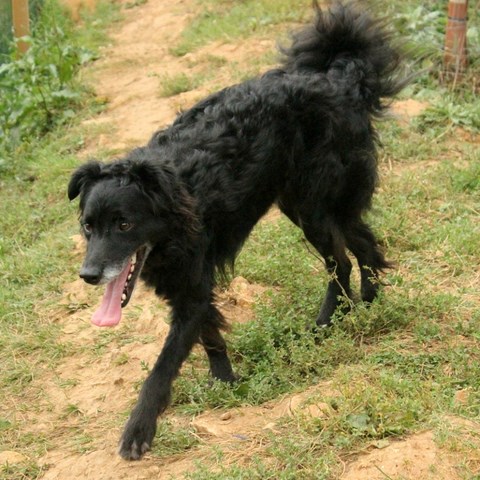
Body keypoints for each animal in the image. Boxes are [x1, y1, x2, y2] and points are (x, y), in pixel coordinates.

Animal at [67, 2, 404, 462]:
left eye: (124, 224)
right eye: (88, 226)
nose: (88, 275)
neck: (176, 201)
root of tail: (338, 77)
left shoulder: (191, 286)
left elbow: (163, 365)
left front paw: (138, 429)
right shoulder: (186, 287)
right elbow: (210, 335)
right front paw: (225, 382)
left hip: (315, 205)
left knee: (342, 259)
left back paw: (325, 323)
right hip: (312, 203)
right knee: (365, 245)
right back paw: (368, 304)